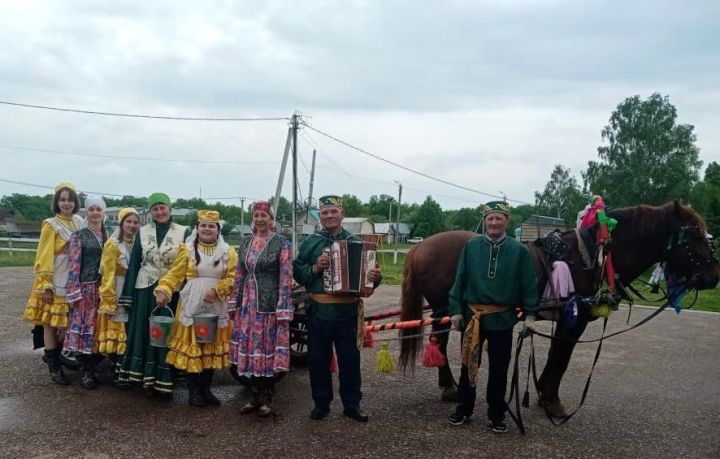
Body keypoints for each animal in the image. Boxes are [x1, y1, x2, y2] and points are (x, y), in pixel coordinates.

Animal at [400, 201, 720, 416]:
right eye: (694, 236)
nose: (713, 276)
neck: (591, 257)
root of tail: (420, 246)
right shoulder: (573, 320)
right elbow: (562, 357)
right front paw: (552, 401)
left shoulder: (567, 317)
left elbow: (557, 354)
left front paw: (543, 393)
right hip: (443, 309)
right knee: (439, 342)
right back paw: (451, 388)